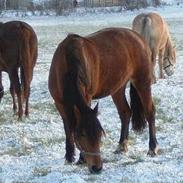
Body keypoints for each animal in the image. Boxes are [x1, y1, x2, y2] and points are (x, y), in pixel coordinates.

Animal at [48, 27, 159, 174]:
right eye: (82, 134)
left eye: (99, 134)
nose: (97, 167)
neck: (66, 63)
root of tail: (138, 37)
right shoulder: (59, 103)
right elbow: (68, 127)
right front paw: (69, 156)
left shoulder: (87, 98)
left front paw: (81, 159)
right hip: (117, 88)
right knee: (125, 112)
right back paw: (121, 145)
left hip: (142, 82)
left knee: (149, 112)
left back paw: (152, 148)